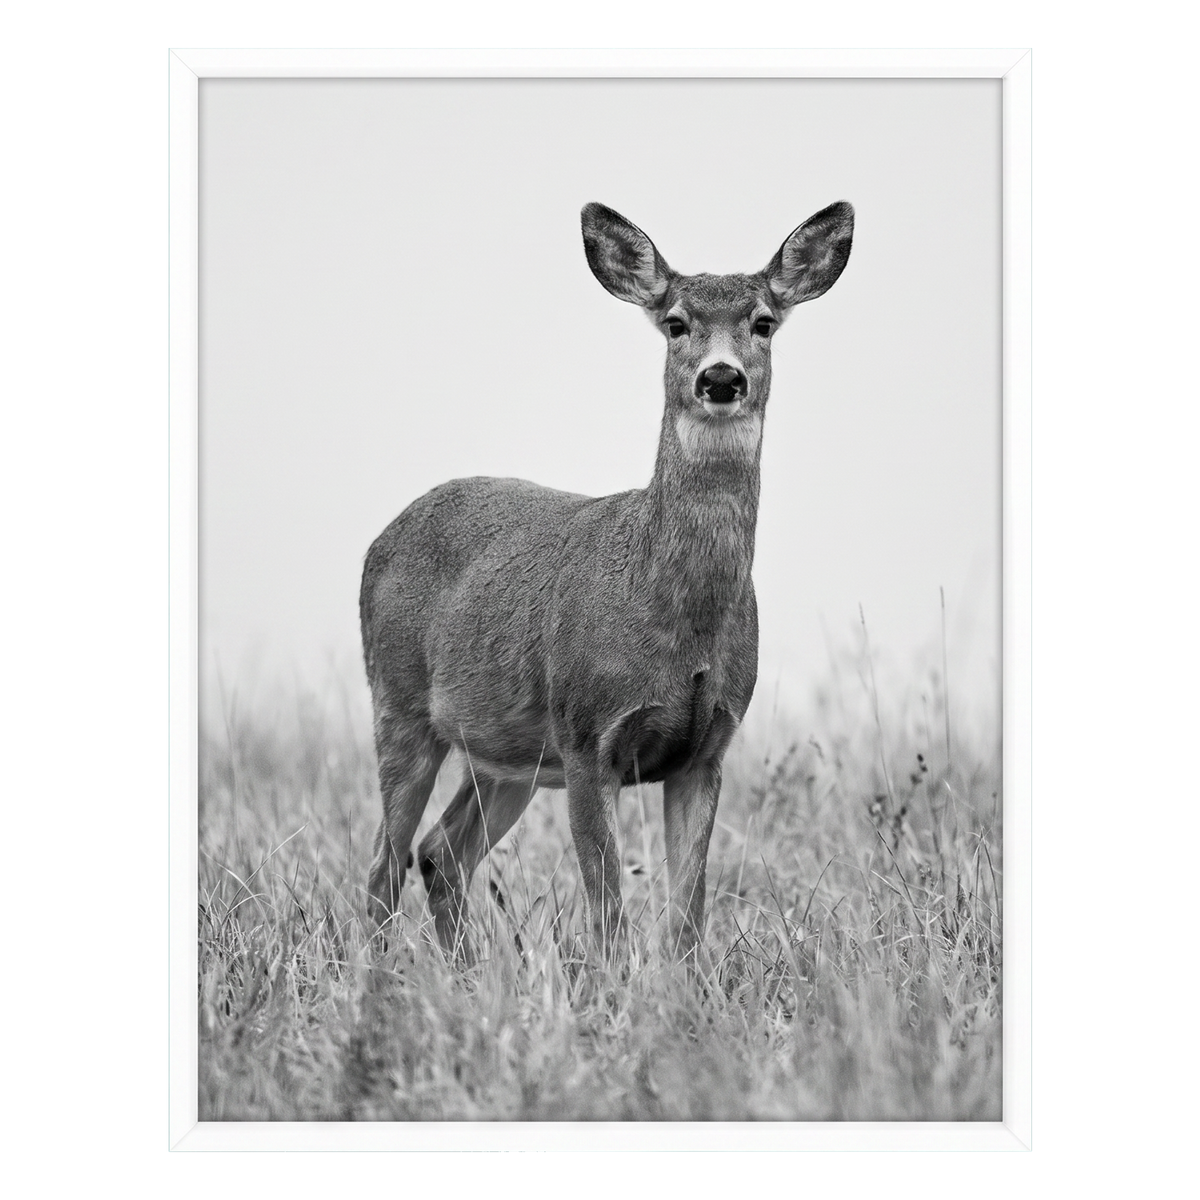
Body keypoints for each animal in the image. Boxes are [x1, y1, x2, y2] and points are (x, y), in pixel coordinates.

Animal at [360, 200, 854, 967]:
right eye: (676, 322)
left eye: (764, 321)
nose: (720, 379)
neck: (678, 619)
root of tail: (379, 540)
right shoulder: (589, 735)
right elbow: (610, 916)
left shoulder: (707, 748)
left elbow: (687, 916)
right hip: (401, 702)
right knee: (385, 864)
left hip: (509, 753)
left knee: (441, 853)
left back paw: (466, 975)